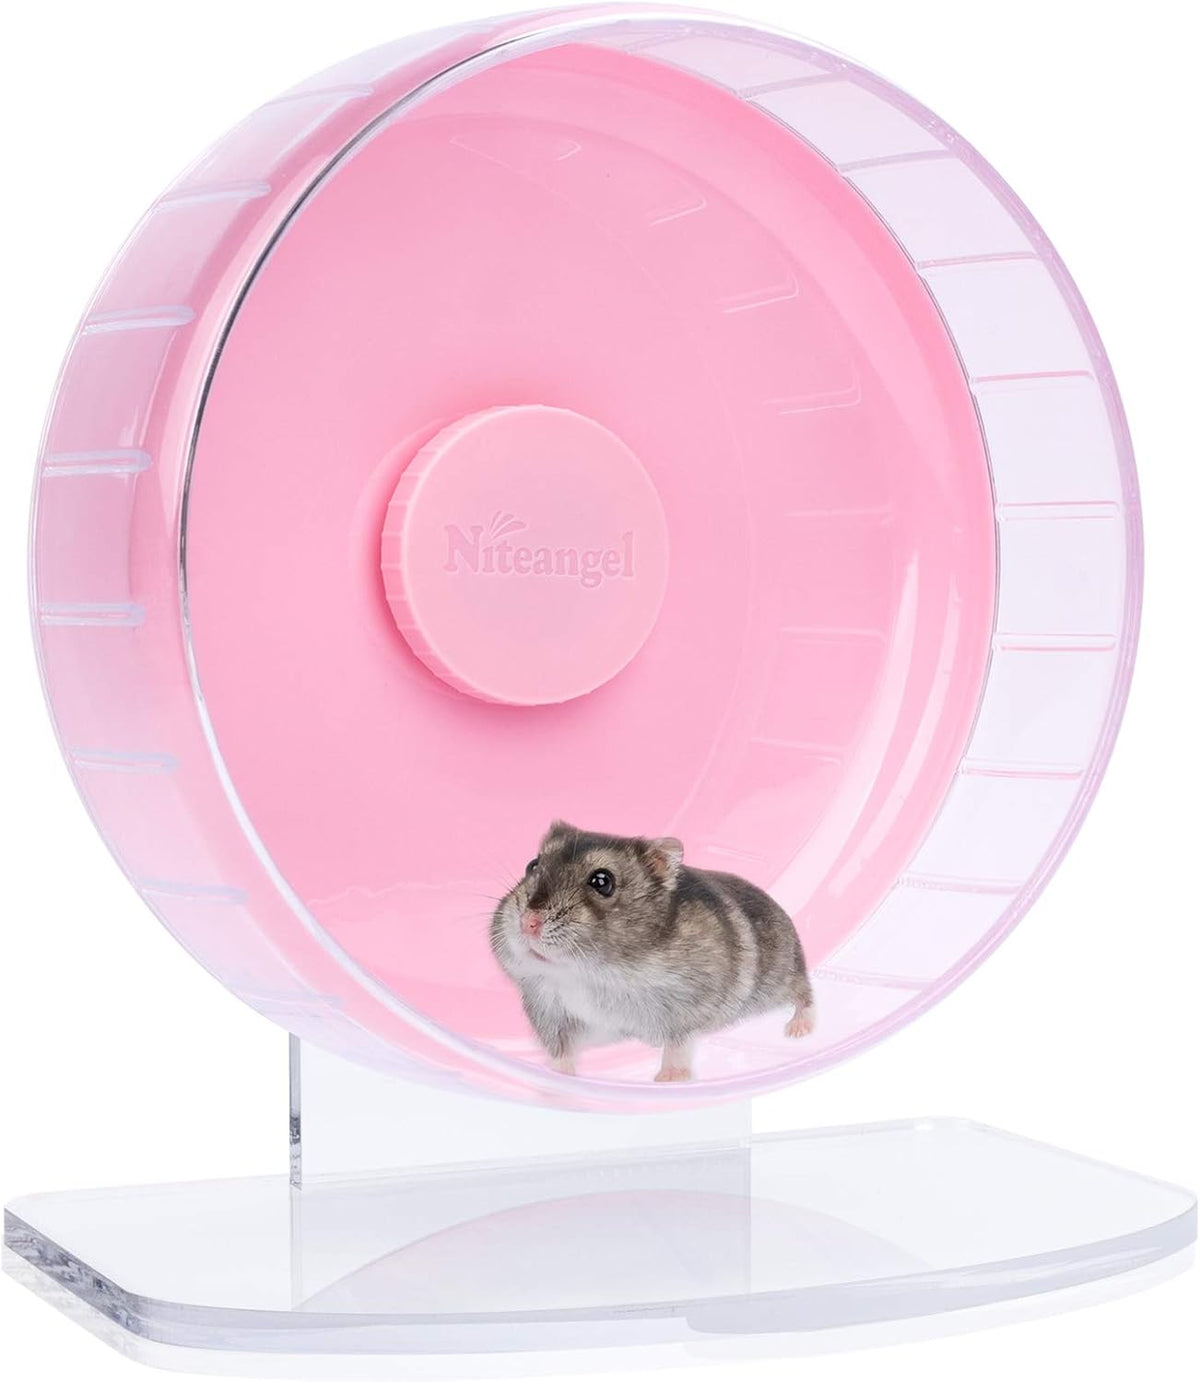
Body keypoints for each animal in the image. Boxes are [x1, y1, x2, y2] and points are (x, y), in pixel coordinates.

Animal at [490, 821, 815, 1082]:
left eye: (602, 881)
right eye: (533, 865)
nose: (527, 922)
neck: (592, 972)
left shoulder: (688, 1007)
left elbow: (678, 1043)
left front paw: (668, 1079)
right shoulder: (550, 1012)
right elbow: (561, 1051)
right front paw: (558, 1077)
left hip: (784, 975)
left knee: (804, 993)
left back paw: (798, 1030)